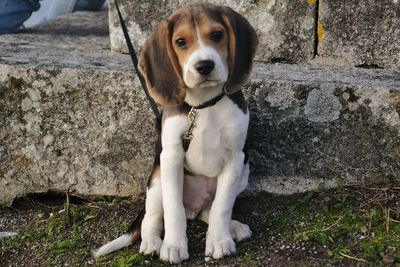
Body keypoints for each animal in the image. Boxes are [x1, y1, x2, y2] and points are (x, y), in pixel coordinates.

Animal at [93, 3, 256, 264]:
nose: (204, 66)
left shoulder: (235, 158)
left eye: (217, 35)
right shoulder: (171, 158)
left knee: (208, 210)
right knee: (152, 217)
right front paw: (173, 246)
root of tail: (194, 207)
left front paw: (219, 241)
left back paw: (233, 227)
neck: (203, 105)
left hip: (244, 173)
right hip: (157, 180)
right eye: (181, 42)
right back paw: (152, 242)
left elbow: (222, 206)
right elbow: (173, 210)